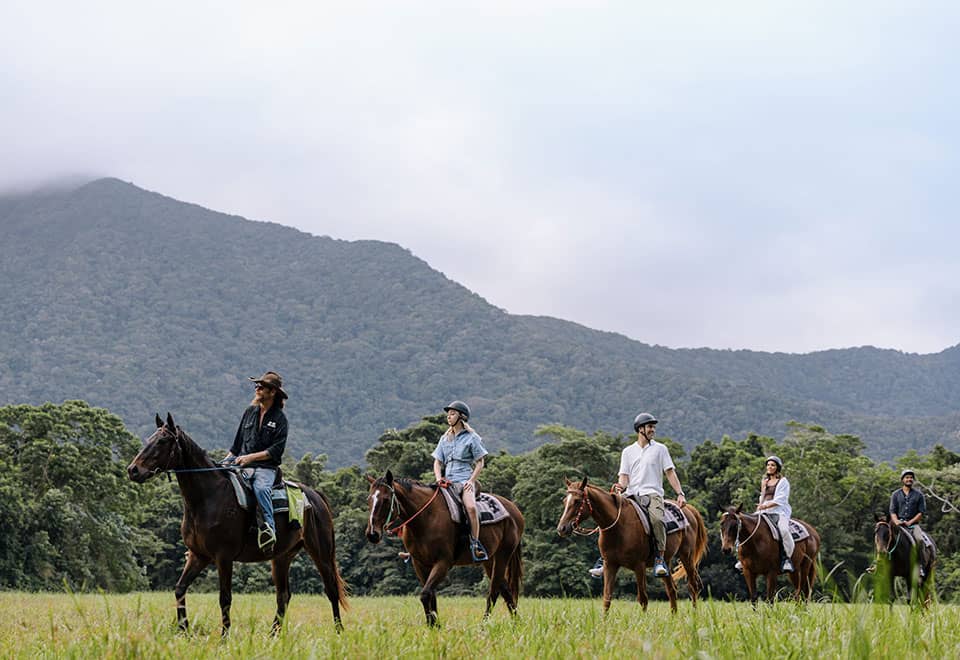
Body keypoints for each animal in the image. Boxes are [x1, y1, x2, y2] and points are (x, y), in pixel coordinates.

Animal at [127, 413, 348, 634]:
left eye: (162, 441)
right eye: (150, 439)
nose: (133, 470)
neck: (208, 497)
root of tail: (315, 496)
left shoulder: (223, 557)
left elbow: (225, 598)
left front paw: (224, 636)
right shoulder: (198, 555)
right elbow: (180, 589)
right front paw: (184, 631)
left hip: (321, 553)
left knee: (331, 591)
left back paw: (339, 631)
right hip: (281, 557)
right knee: (283, 596)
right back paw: (272, 636)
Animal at [364, 470, 524, 626]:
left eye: (386, 499)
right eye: (369, 499)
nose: (372, 534)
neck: (426, 518)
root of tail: (514, 509)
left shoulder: (443, 563)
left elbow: (425, 594)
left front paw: (434, 625)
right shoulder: (420, 564)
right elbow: (431, 595)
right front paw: (434, 625)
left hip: (503, 555)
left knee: (494, 591)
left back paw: (484, 625)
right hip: (489, 560)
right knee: (504, 588)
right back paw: (516, 623)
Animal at [555, 477, 708, 613]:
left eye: (577, 501)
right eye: (564, 501)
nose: (562, 528)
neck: (618, 527)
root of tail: (688, 509)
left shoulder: (639, 566)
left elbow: (643, 598)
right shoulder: (610, 565)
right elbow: (607, 598)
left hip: (686, 556)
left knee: (693, 586)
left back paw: (694, 615)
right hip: (667, 561)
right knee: (672, 590)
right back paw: (673, 617)